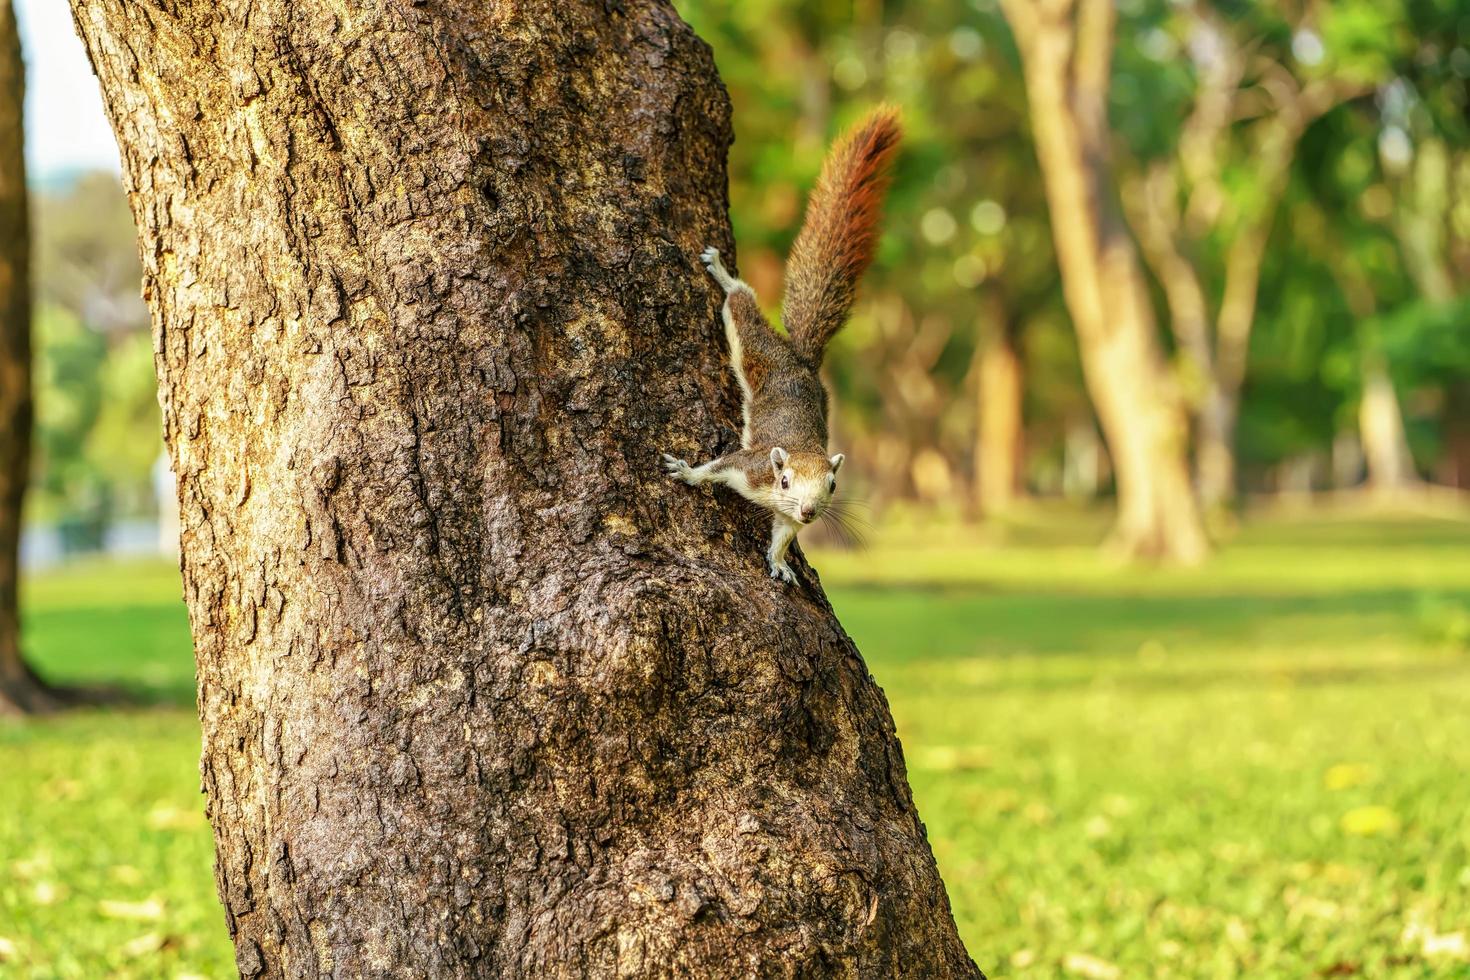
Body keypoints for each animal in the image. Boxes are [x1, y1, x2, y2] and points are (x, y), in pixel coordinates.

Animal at [664, 107, 893, 581]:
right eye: (784, 480)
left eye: (832, 485)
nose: (809, 511)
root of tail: (800, 359)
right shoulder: (748, 468)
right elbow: (717, 466)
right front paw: (688, 473)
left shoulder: (788, 519)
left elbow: (783, 535)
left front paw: (779, 562)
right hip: (758, 349)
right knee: (741, 304)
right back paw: (723, 273)